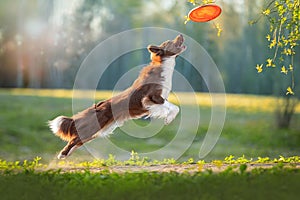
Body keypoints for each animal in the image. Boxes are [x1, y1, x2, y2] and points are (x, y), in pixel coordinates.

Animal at [48, 34, 186, 159]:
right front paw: (168, 119)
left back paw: (66, 154)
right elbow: (174, 107)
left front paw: (168, 118)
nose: (181, 34)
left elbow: (172, 107)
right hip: (95, 126)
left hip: (99, 130)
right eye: (170, 41)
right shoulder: (152, 97)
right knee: (74, 139)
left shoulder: (158, 100)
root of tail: (98, 106)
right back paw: (62, 154)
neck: (164, 66)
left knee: (78, 140)